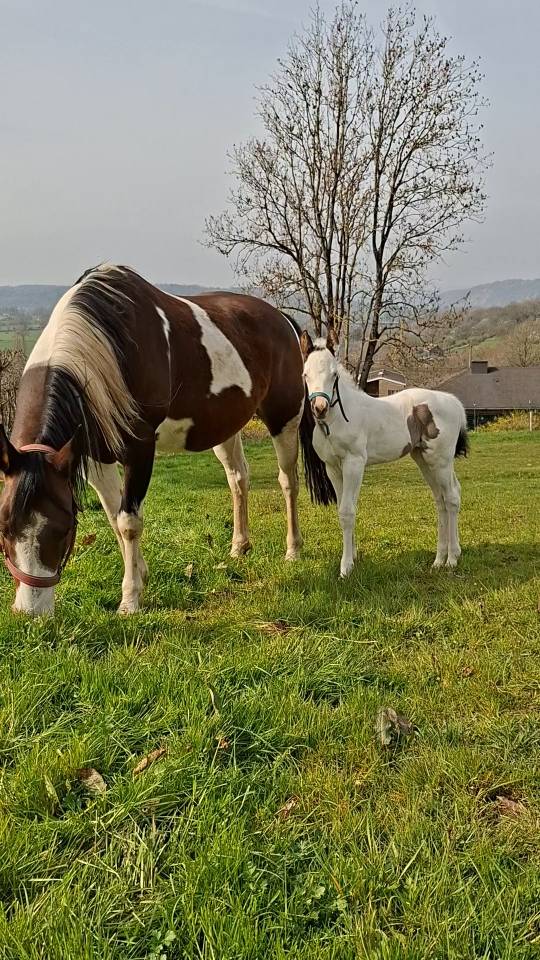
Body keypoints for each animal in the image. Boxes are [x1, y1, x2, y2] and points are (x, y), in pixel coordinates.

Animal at [0, 264, 334, 616]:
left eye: (64, 529)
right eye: (4, 528)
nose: (30, 612)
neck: (105, 347)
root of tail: (281, 319)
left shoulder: (139, 450)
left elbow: (128, 521)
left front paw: (130, 600)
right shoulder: (94, 459)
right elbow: (114, 517)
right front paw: (140, 573)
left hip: (284, 419)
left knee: (288, 481)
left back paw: (293, 550)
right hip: (225, 428)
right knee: (238, 478)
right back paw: (239, 547)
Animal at [300, 329, 469, 578]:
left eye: (334, 375)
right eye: (305, 374)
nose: (319, 408)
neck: (337, 420)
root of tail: (454, 403)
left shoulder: (354, 463)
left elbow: (347, 511)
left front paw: (345, 568)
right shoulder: (333, 468)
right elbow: (343, 509)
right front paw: (353, 558)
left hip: (441, 461)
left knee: (452, 498)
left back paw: (452, 559)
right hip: (424, 460)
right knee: (441, 500)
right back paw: (439, 560)